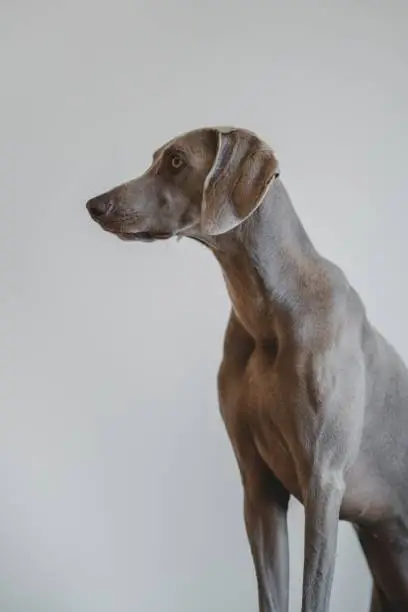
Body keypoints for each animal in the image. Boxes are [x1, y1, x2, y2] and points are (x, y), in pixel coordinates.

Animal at [85, 126, 408, 608]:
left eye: (176, 161)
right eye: (156, 157)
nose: (95, 205)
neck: (269, 312)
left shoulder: (324, 485)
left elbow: (313, 594)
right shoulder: (258, 486)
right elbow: (270, 592)